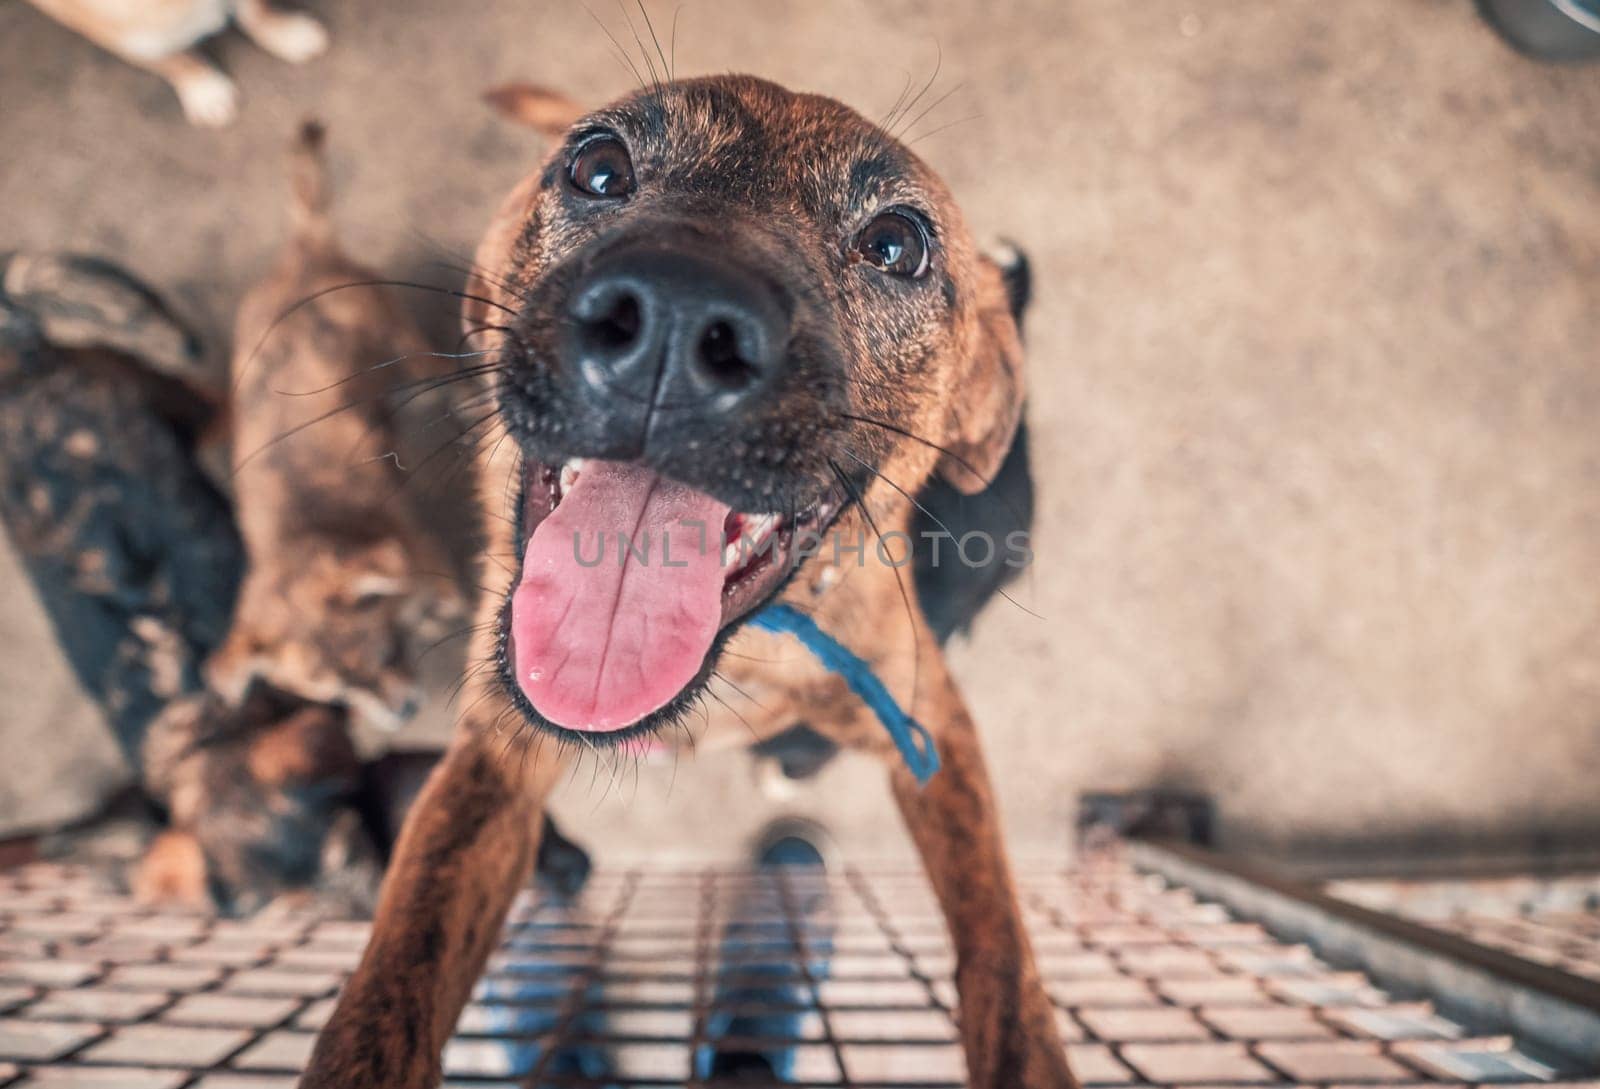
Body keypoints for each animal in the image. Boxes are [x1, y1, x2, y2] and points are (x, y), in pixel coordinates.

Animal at [300, 78, 1075, 1087]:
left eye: (897, 244)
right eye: (598, 167)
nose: (670, 320)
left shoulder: (930, 728)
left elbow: (1001, 946)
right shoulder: (494, 763)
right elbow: (401, 955)